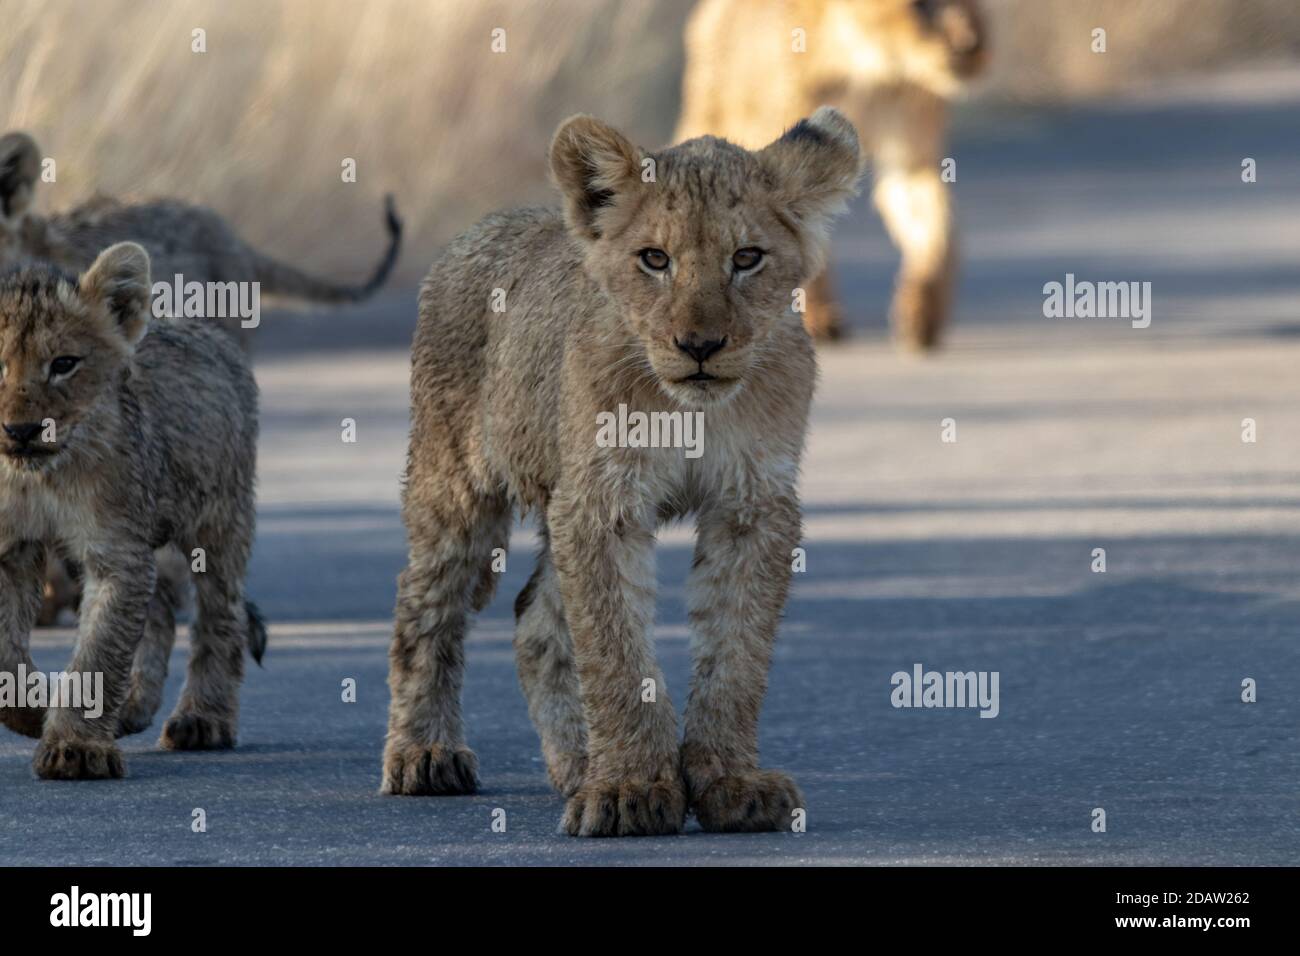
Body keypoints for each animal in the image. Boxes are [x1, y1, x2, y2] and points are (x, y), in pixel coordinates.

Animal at [681, 0, 982, 343]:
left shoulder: (911, 149)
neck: (868, 69)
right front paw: (818, 319)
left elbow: (934, 226)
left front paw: (921, 316)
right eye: (918, 5)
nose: (971, 44)